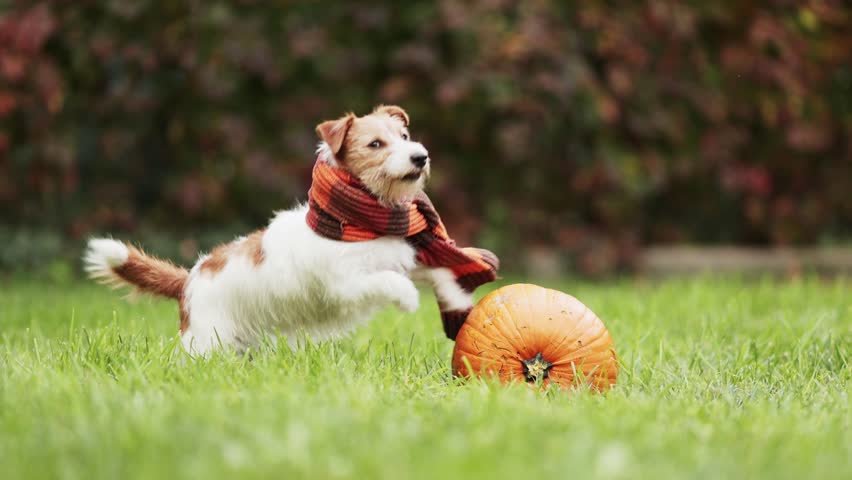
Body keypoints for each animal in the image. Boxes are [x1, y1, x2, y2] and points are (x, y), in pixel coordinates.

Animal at [85, 104, 480, 352]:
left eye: (404, 134)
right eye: (375, 144)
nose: (420, 156)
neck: (360, 222)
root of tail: (189, 279)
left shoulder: (400, 258)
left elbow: (438, 271)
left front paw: (458, 299)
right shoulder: (347, 284)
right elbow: (390, 281)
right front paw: (408, 299)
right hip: (207, 340)